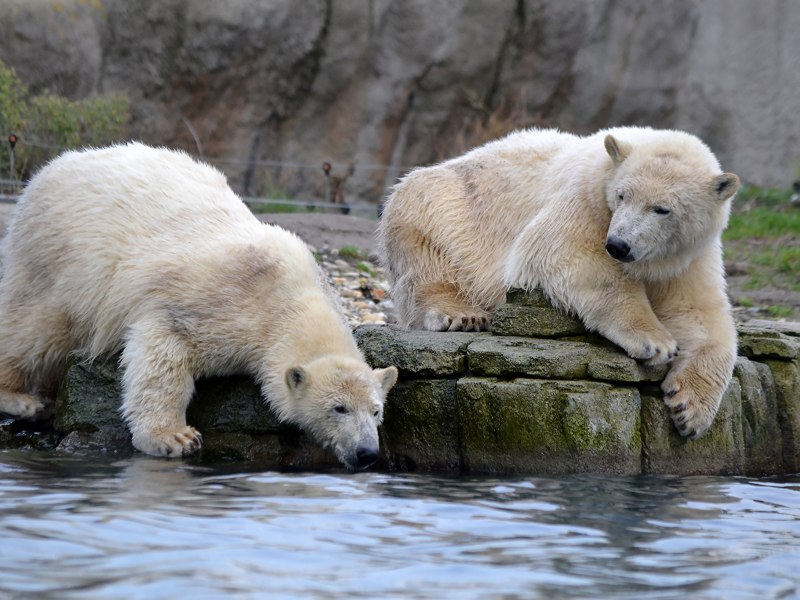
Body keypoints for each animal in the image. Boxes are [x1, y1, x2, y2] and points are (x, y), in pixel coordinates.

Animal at [0, 142, 398, 468]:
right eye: (339, 408)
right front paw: (174, 437)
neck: (289, 294)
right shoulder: (211, 302)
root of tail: (51, 168)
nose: (366, 453)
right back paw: (21, 398)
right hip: (61, 257)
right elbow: (162, 353)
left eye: (376, 411)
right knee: (35, 325)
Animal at [378, 124, 740, 438]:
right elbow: (568, 253)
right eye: (622, 195)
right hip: (448, 208)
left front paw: (690, 410)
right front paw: (655, 341)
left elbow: (696, 313)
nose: (618, 245)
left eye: (662, 209)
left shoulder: (688, 256)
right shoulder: (584, 199)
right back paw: (461, 314)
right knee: (428, 252)